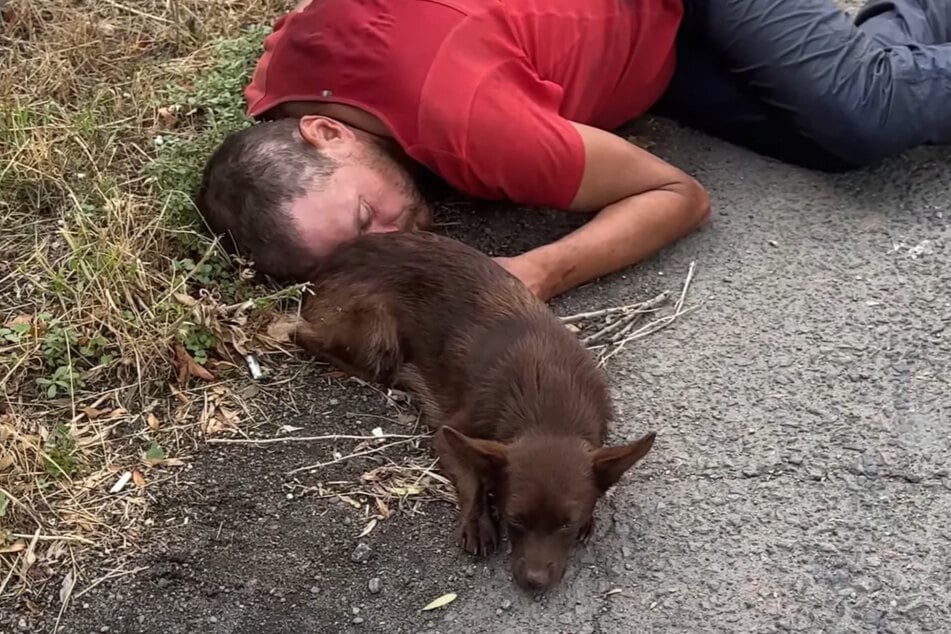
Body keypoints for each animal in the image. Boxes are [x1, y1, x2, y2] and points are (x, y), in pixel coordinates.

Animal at [294, 230, 660, 592]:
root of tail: (332, 260)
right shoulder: (450, 434)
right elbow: (472, 479)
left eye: (566, 525)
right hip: (376, 334)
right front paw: (477, 521)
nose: (534, 583)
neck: (549, 407)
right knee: (300, 334)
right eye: (514, 521)